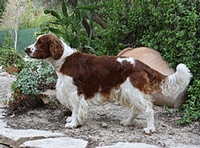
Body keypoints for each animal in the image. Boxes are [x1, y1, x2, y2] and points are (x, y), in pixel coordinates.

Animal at [25, 34, 192, 135]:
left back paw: (150, 128)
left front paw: (73, 123)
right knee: (137, 109)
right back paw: (127, 122)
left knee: (148, 109)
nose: (26, 49)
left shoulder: (74, 92)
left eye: (40, 42)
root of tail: (141, 64)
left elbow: (76, 109)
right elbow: (74, 109)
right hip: (127, 93)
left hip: (133, 91)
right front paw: (73, 120)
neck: (64, 60)